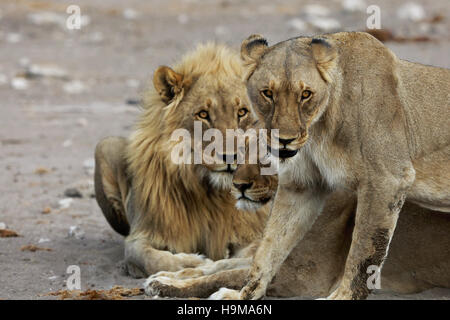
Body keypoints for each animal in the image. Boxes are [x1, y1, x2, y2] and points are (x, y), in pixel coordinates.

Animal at [93, 43, 266, 278]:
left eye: (242, 112)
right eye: (203, 114)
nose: (231, 156)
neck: (210, 194)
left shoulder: (250, 234)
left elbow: (249, 257)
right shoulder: (141, 235)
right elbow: (153, 259)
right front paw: (194, 263)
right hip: (105, 146)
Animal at [146, 162, 448, 300]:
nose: (238, 185)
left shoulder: (305, 278)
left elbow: (229, 275)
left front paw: (168, 286)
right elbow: (223, 265)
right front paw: (169, 276)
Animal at [212, 31, 450, 298]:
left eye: (306, 94)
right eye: (268, 93)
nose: (285, 140)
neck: (321, 127)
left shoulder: (388, 178)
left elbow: (364, 250)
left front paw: (343, 295)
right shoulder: (303, 186)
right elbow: (270, 246)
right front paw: (246, 293)